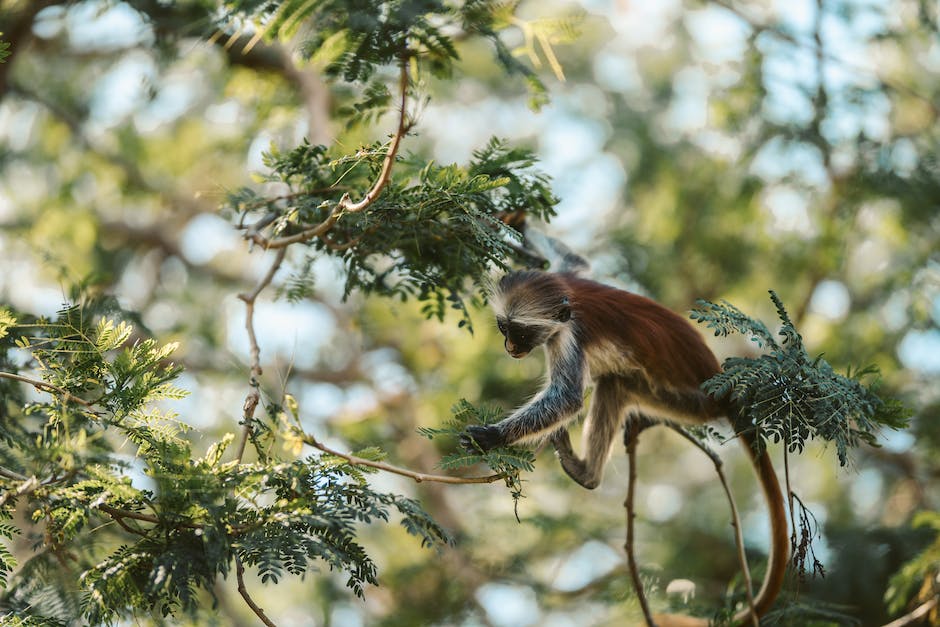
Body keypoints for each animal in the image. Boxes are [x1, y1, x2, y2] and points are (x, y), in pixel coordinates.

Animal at [458, 272, 788, 627]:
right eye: (503, 328)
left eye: (520, 332)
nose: (510, 348)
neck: (568, 297)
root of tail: (723, 391)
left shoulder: (569, 335)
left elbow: (568, 399)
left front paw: (491, 437)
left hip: (687, 402)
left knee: (614, 383)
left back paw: (586, 473)